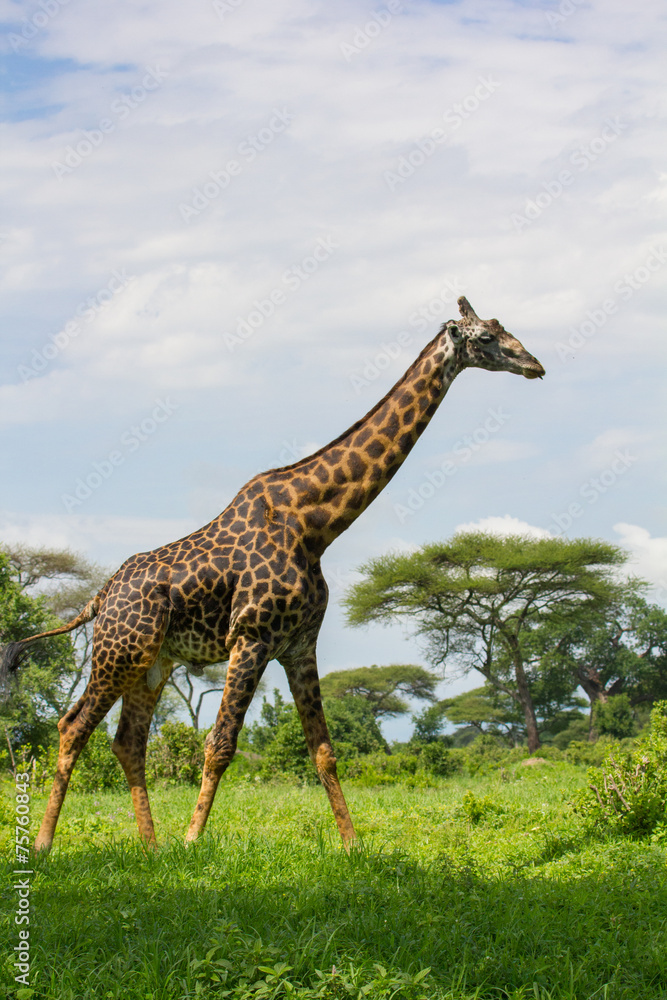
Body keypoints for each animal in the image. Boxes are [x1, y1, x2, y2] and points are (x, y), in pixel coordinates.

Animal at [0, 297, 545, 852]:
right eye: (486, 338)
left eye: (502, 328)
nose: (535, 365)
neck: (315, 526)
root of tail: (101, 595)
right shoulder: (252, 636)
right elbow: (220, 744)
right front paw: (192, 842)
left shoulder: (300, 645)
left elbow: (323, 750)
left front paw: (353, 846)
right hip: (119, 652)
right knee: (72, 726)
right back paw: (44, 844)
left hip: (153, 664)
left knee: (128, 740)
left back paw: (150, 848)